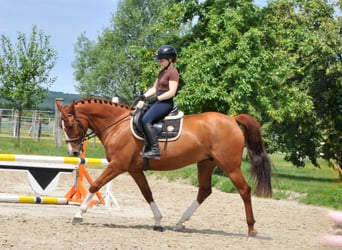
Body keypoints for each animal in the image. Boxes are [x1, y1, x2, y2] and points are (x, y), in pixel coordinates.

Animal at [56, 96, 272, 235]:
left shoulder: (117, 166)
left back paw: (251, 228)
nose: (73, 152)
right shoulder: (134, 169)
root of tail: (232, 119)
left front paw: (78, 214)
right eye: (62, 126)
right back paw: (180, 222)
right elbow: (147, 193)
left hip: (230, 166)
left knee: (244, 190)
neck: (117, 124)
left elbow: (95, 185)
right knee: (204, 191)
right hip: (206, 164)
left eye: (70, 125)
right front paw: (158, 221)